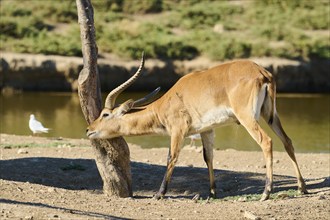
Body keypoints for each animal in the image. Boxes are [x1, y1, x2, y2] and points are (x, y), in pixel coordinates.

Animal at [86, 52, 308, 201]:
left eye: (105, 114)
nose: (88, 129)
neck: (164, 105)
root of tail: (262, 72)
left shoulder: (178, 131)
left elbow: (171, 158)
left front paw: (159, 194)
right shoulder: (206, 130)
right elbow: (208, 157)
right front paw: (212, 192)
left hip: (248, 118)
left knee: (266, 142)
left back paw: (266, 193)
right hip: (270, 115)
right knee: (288, 142)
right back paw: (302, 188)